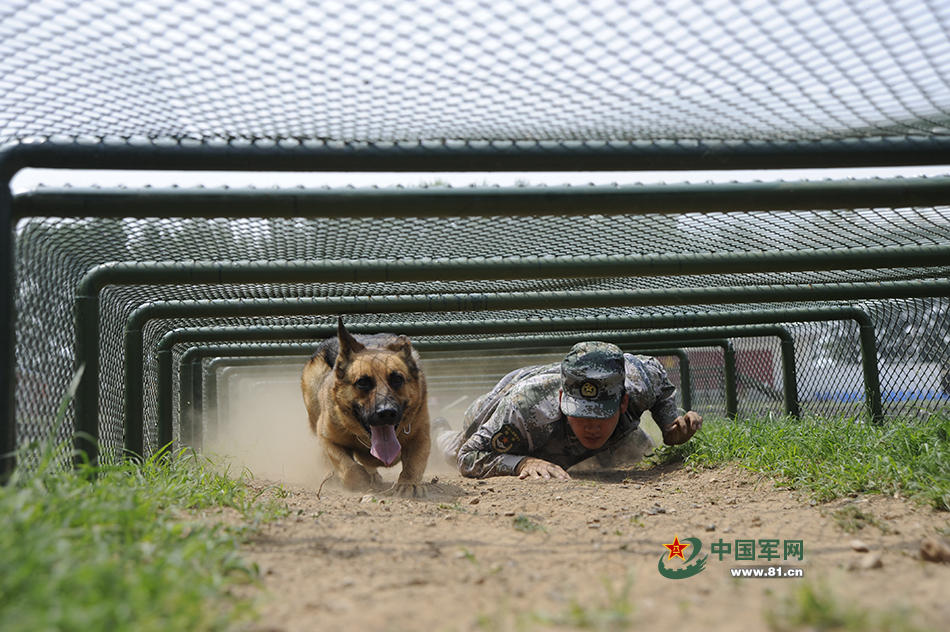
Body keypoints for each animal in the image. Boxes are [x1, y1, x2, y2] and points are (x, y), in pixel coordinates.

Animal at [302, 318, 432, 496]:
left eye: (397, 379)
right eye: (362, 382)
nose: (386, 412)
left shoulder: (421, 436)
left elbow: (415, 463)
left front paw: (408, 484)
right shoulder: (327, 438)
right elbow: (347, 467)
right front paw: (360, 480)